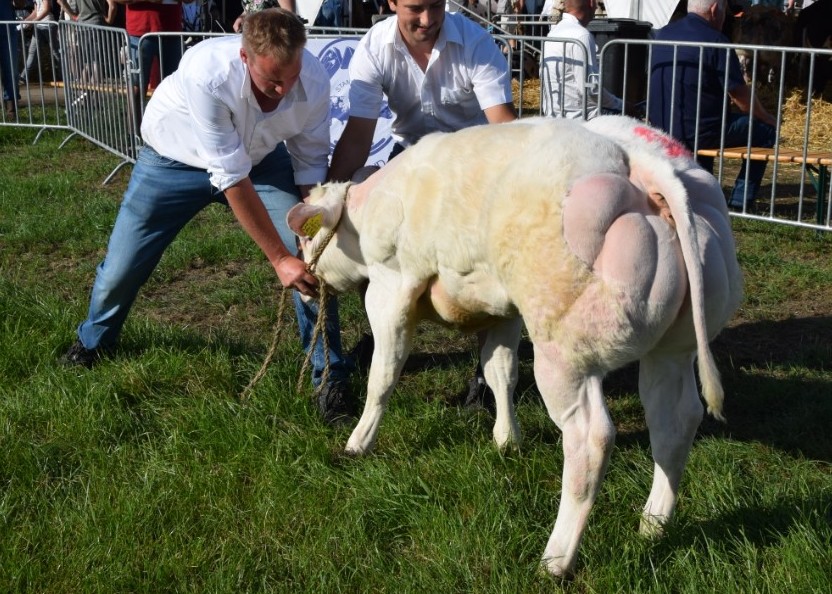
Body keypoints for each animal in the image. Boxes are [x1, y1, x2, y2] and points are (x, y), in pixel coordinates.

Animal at [290, 117, 744, 580]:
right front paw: (507, 440)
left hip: (565, 352)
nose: (302, 282)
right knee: (675, 420)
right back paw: (652, 525)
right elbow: (500, 374)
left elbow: (383, 377)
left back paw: (556, 559)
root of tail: (640, 158)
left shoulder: (390, 289)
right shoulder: (503, 311)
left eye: (303, 240)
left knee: (591, 439)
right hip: (673, 347)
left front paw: (358, 442)